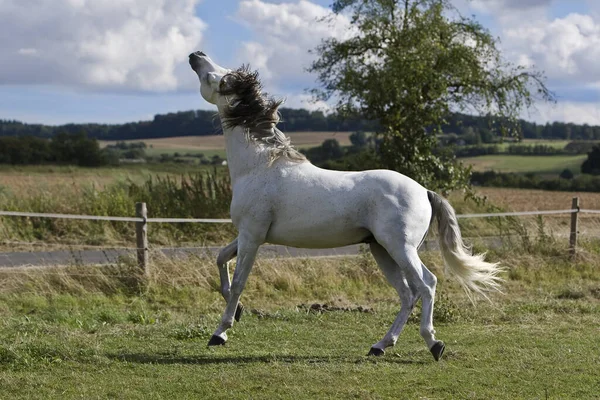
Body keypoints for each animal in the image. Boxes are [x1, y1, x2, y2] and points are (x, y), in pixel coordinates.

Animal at [188, 51, 502, 360]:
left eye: (220, 78)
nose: (195, 55)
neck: (259, 166)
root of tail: (424, 191)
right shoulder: (249, 235)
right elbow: (221, 259)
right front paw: (237, 314)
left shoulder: (252, 236)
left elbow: (238, 282)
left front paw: (220, 333)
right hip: (382, 250)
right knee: (408, 293)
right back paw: (380, 346)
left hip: (400, 247)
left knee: (426, 285)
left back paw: (434, 344)